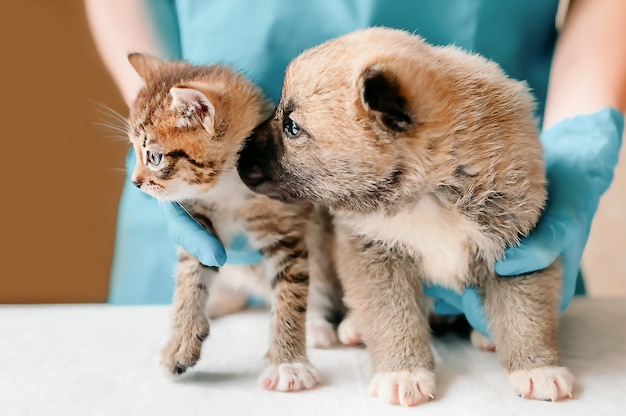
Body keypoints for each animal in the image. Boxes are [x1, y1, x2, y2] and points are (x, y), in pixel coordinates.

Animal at [125, 54, 338, 390]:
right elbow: (190, 280)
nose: (135, 182)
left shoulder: (287, 231)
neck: (226, 188)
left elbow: (290, 296)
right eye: (133, 150)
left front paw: (288, 363)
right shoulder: (199, 230)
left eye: (154, 157)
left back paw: (323, 324)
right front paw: (180, 342)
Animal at [236, 27, 572, 404]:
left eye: (292, 126)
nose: (237, 159)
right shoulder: (374, 253)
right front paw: (403, 372)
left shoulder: (518, 251)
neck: (429, 191)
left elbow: (525, 315)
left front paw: (537, 367)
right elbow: (393, 317)